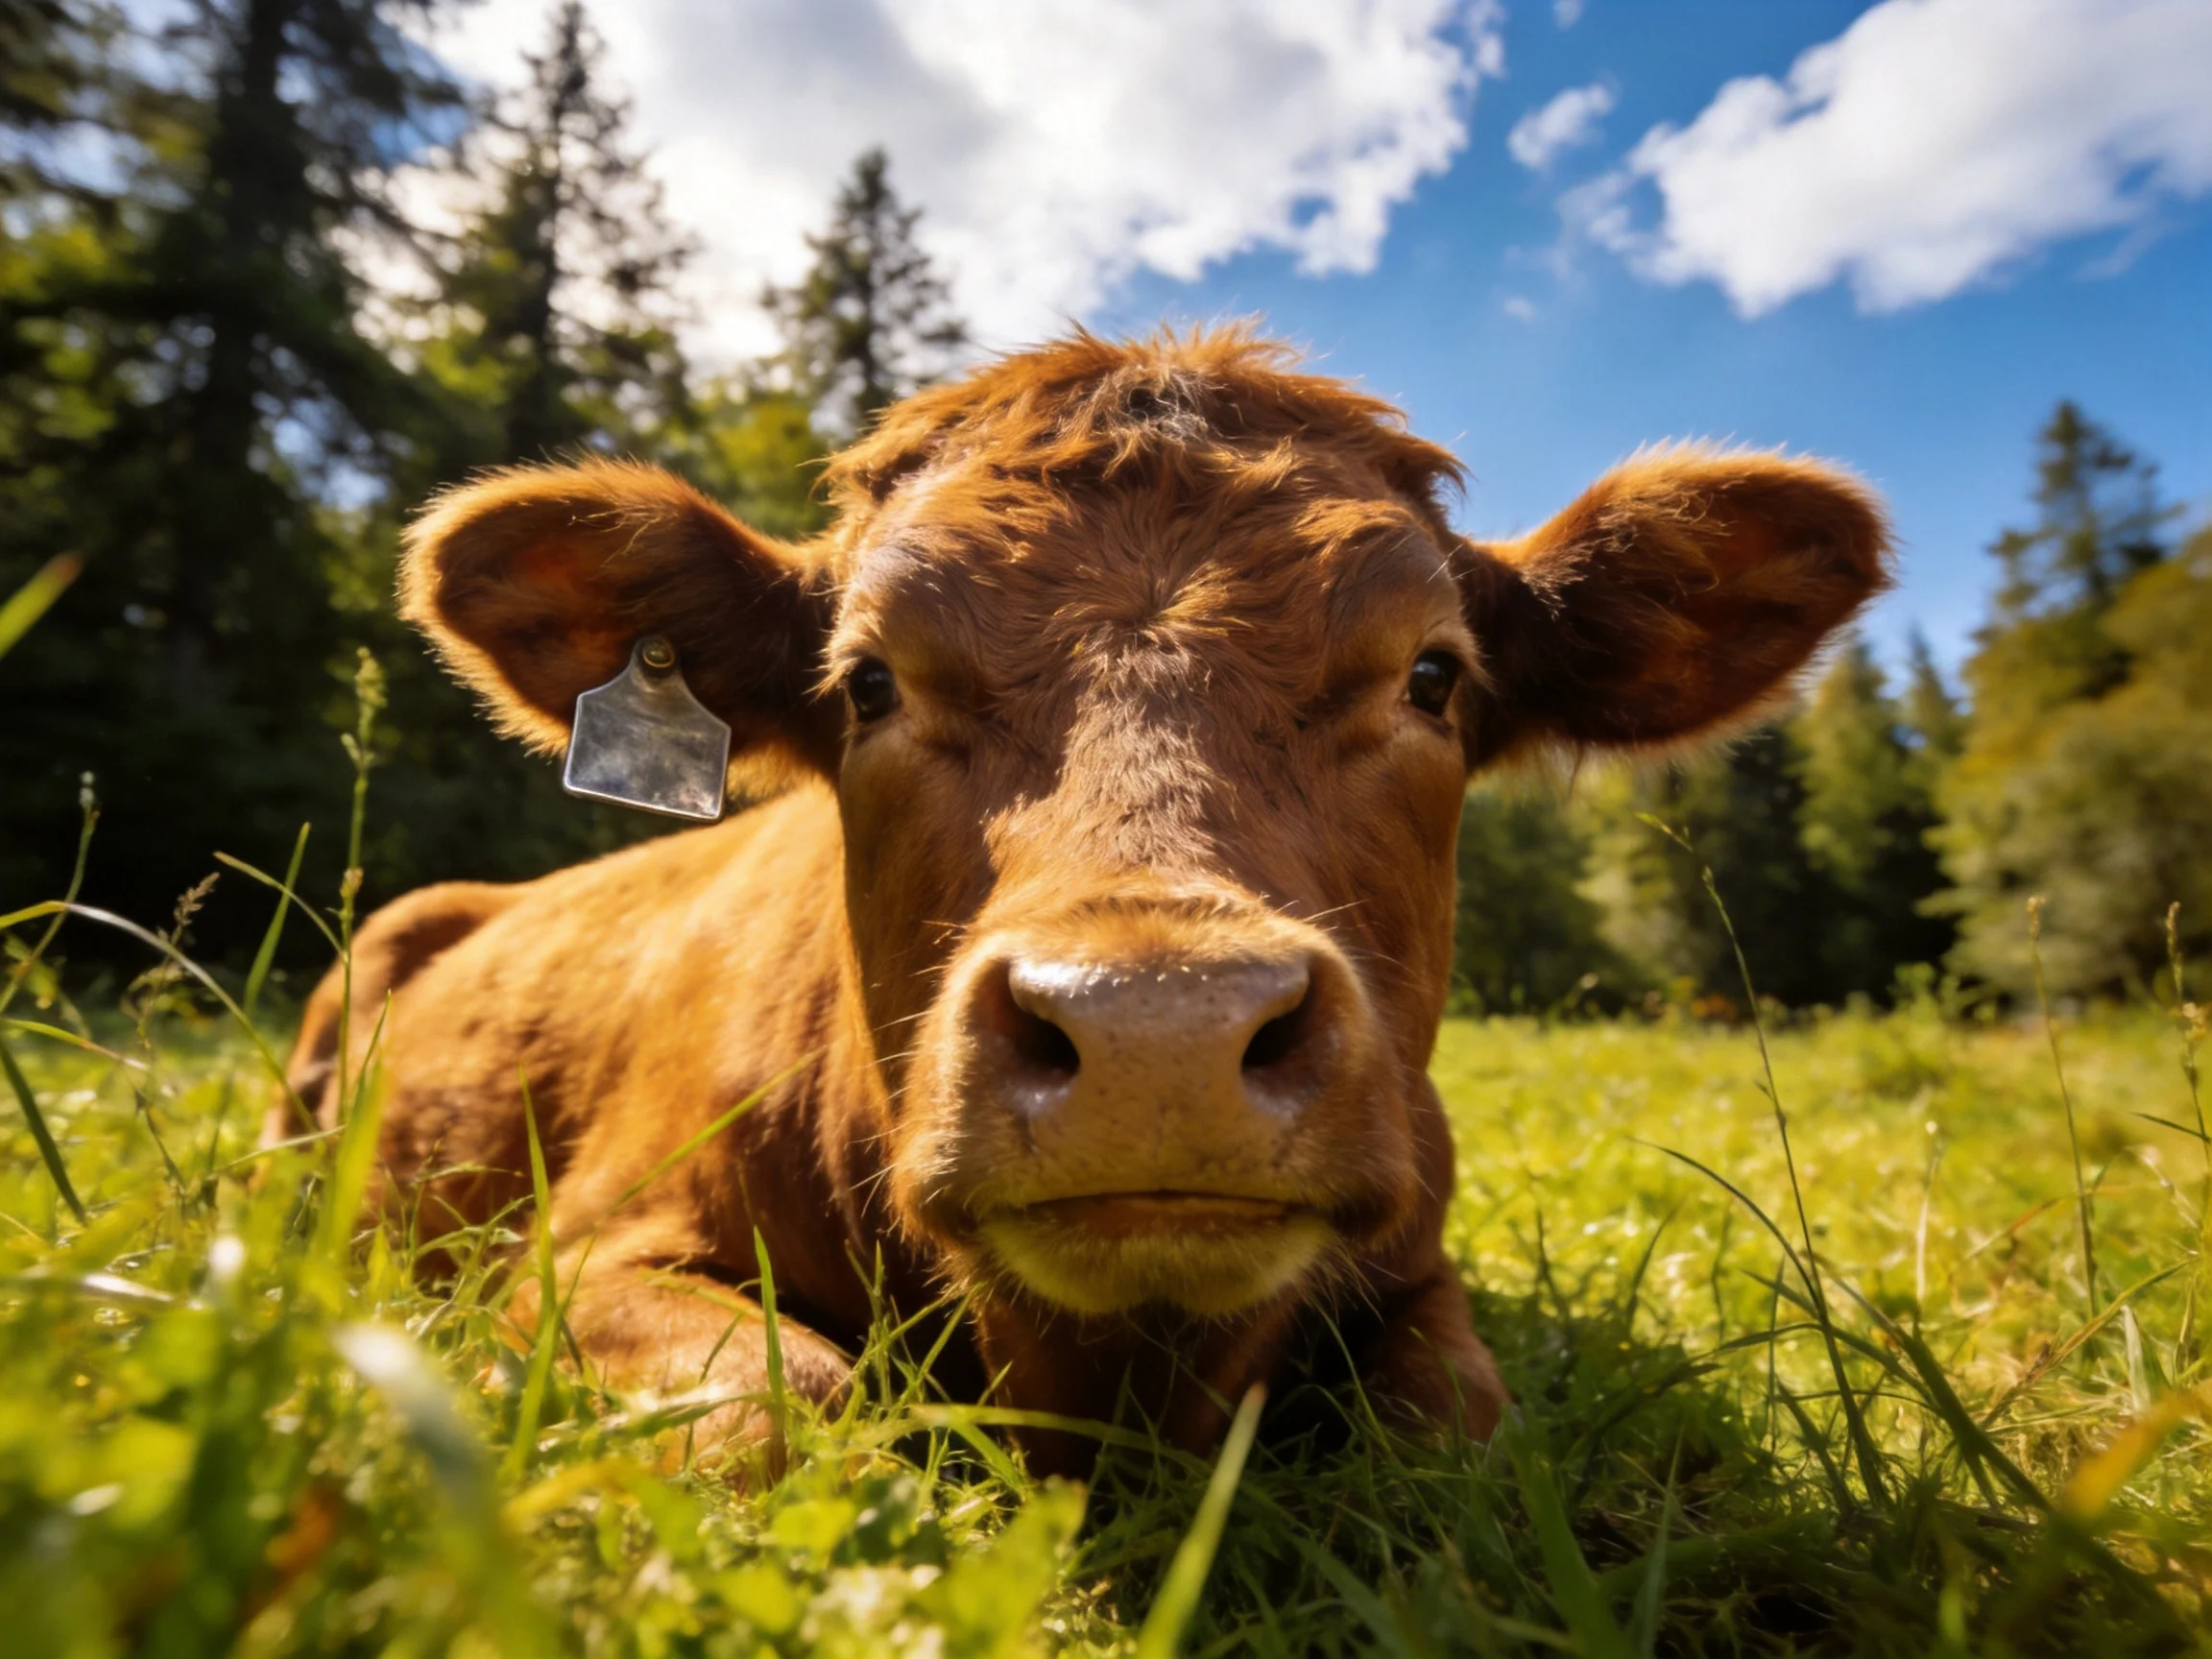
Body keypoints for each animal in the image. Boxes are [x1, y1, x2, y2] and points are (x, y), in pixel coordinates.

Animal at [277, 327, 1888, 1474]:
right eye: (868, 683)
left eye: (1433, 675)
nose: (1154, 1035)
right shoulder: (581, 1256)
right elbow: (780, 1409)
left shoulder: (1421, 1269)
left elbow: (1456, 1431)